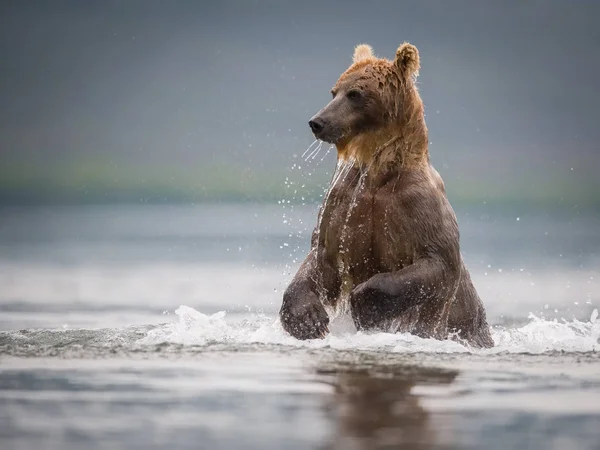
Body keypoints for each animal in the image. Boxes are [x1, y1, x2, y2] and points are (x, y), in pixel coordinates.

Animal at [280, 42, 492, 348]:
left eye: (355, 94)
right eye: (334, 91)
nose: (317, 122)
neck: (377, 172)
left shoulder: (417, 206)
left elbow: (438, 260)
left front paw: (365, 303)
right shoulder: (343, 204)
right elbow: (321, 258)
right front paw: (307, 319)